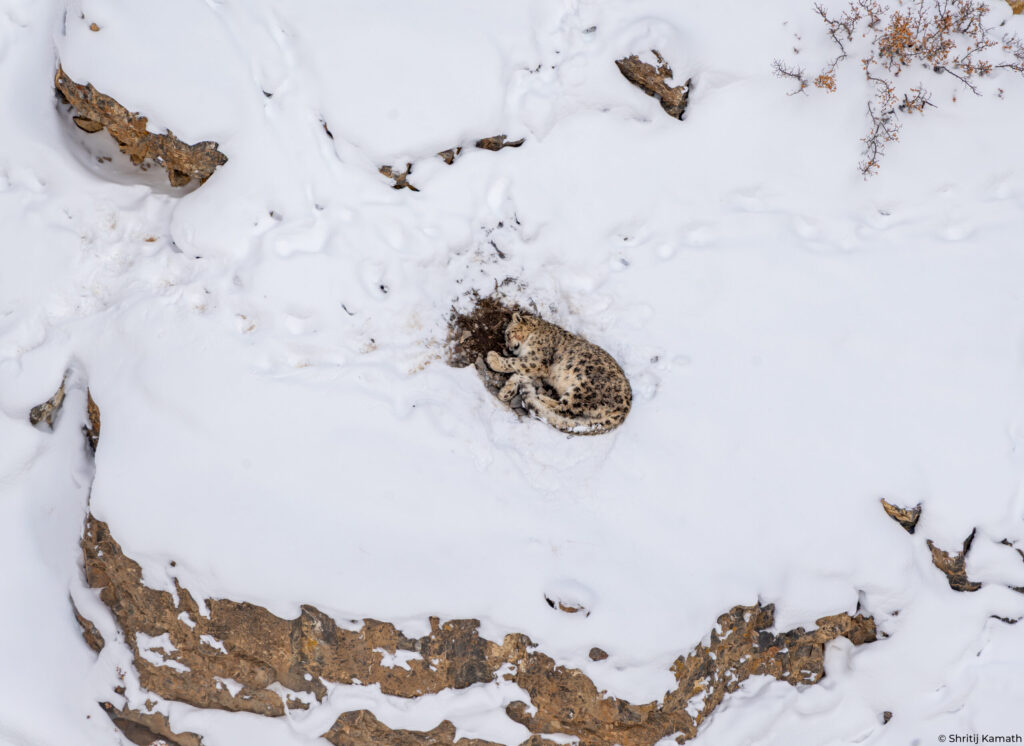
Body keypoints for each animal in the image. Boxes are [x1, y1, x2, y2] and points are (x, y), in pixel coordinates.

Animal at [485, 312, 632, 435]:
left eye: (508, 334)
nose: (509, 349)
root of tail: (626, 409)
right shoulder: (535, 368)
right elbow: (520, 373)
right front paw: (506, 391)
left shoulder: (536, 360)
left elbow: (515, 363)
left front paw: (493, 359)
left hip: (583, 389)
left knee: (563, 409)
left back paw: (540, 398)